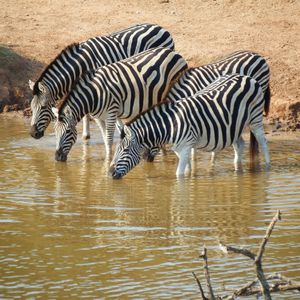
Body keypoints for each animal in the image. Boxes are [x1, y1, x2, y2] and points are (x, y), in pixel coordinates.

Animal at [28, 23, 173, 141]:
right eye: (31, 107)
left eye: (43, 107)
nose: (32, 134)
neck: (80, 66)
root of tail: (160, 27)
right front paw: (86, 136)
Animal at [51, 46, 188, 162]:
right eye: (55, 131)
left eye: (68, 131)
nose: (57, 157)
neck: (94, 94)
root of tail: (174, 52)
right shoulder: (98, 117)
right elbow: (105, 139)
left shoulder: (111, 113)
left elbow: (109, 140)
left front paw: (108, 161)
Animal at [109, 74, 270, 178]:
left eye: (125, 150)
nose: (110, 173)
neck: (170, 125)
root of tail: (247, 77)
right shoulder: (179, 150)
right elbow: (186, 171)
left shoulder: (186, 146)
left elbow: (179, 175)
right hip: (234, 126)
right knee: (239, 145)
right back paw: (238, 168)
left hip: (255, 119)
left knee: (263, 143)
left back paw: (267, 167)